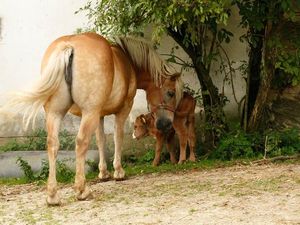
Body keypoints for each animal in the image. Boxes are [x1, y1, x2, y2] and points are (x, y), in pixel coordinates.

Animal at [5, 32, 183, 205]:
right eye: (170, 93)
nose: (167, 124)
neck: (127, 61)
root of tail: (69, 46)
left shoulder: (100, 115)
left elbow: (101, 140)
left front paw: (103, 173)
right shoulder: (122, 110)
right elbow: (118, 137)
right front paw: (118, 171)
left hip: (55, 113)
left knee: (52, 144)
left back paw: (52, 196)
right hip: (88, 113)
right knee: (81, 142)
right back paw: (82, 190)